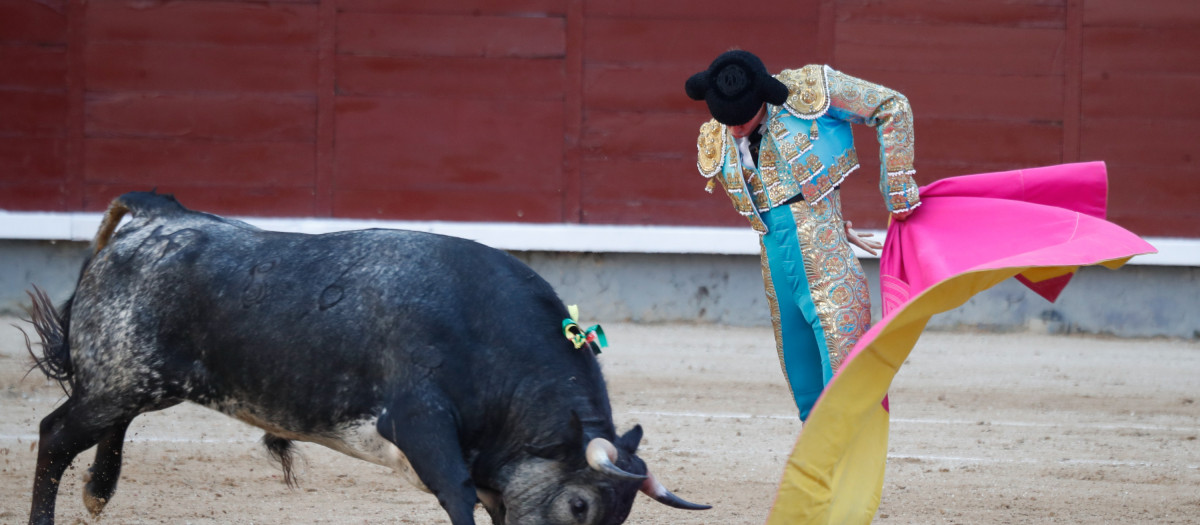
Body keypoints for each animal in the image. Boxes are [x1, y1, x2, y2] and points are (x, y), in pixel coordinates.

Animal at [23, 192, 705, 525]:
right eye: (581, 505)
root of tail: (151, 220)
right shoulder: (424, 428)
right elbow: (458, 500)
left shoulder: (496, 473)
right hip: (125, 377)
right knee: (56, 434)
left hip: (136, 381)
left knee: (108, 426)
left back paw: (98, 493)